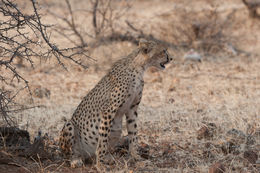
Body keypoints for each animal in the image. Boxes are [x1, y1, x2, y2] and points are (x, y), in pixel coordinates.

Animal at [59, 38, 172, 169]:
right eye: (163, 51)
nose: (171, 58)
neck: (139, 67)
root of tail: (86, 155)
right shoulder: (109, 110)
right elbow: (102, 140)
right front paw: (100, 165)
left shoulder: (132, 109)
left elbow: (133, 134)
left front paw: (136, 158)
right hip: (69, 126)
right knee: (69, 154)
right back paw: (76, 160)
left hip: (117, 130)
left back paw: (108, 158)